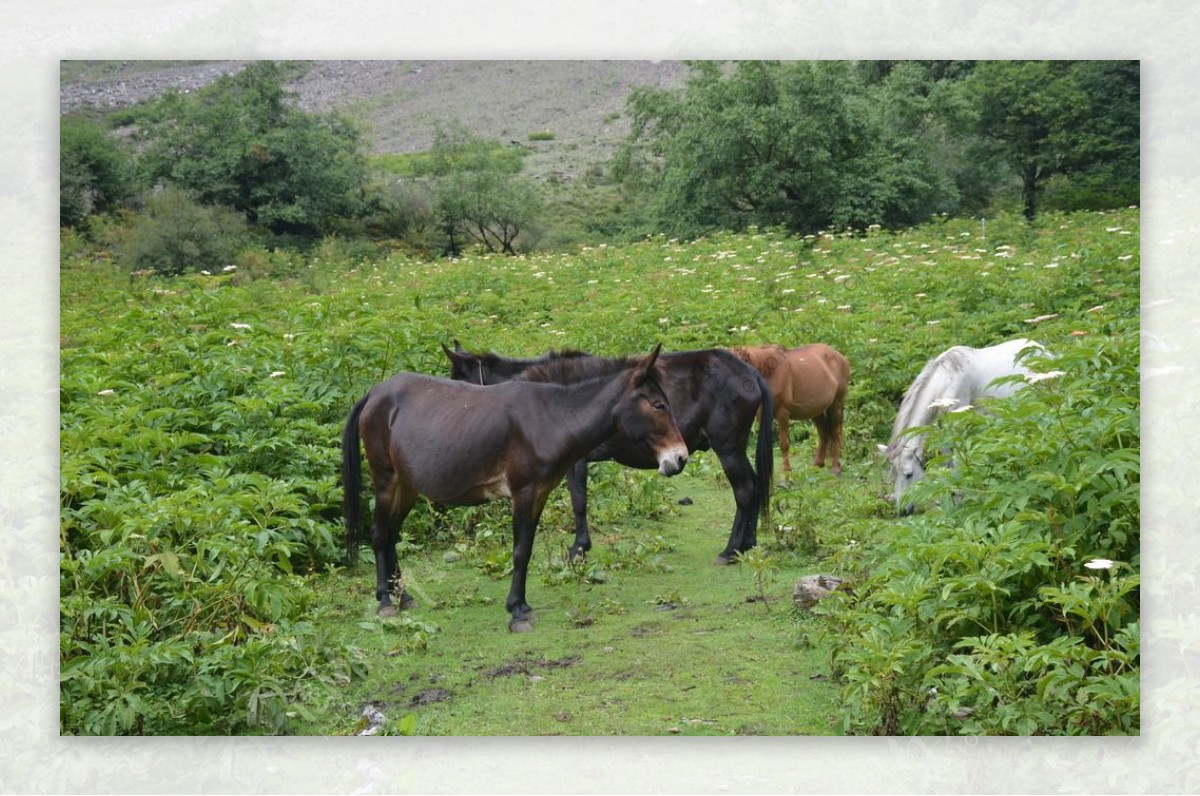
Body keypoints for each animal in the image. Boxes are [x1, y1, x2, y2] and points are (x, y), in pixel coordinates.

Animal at [343, 345, 691, 633]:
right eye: (658, 405)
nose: (679, 458)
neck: (550, 417)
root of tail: (376, 393)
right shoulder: (523, 492)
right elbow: (520, 551)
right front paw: (517, 614)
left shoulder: (539, 493)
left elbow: (527, 548)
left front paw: (520, 605)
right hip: (386, 480)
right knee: (379, 535)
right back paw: (385, 601)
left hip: (407, 486)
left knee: (391, 535)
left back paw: (403, 597)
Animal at [446, 338, 772, 564]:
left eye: (459, 384)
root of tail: (749, 372)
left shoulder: (575, 462)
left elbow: (579, 501)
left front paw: (578, 548)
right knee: (755, 485)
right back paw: (748, 543)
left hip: (728, 448)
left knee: (745, 489)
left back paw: (731, 549)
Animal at [724, 343, 849, 480]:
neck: (770, 374)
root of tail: (840, 356)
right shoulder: (762, 415)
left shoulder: (783, 414)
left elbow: (784, 444)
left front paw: (786, 475)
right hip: (816, 410)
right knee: (824, 433)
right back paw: (817, 465)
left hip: (836, 404)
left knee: (835, 433)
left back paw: (835, 468)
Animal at [888, 338, 1046, 516]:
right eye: (893, 475)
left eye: (909, 475)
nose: (902, 511)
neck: (946, 379)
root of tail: (1044, 350)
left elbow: (957, 463)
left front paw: (960, 499)